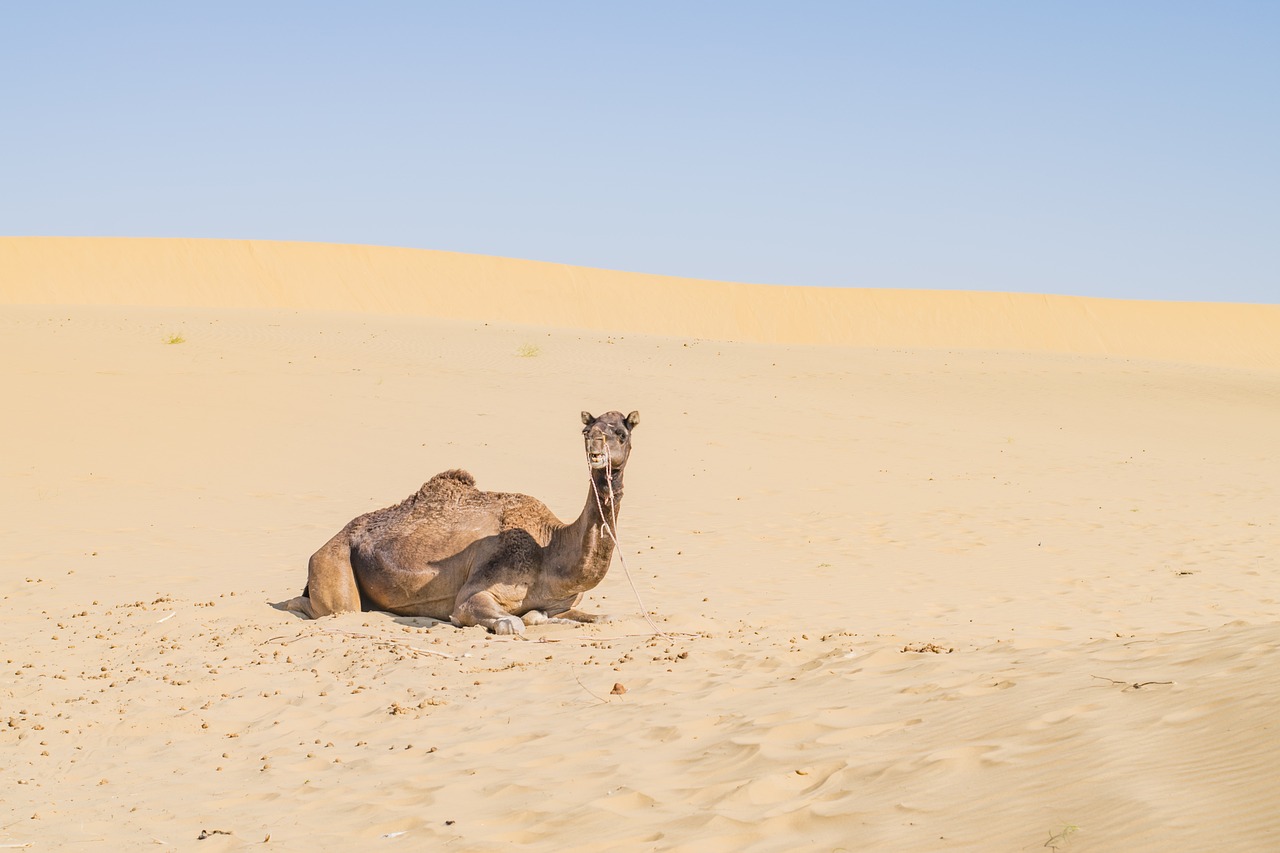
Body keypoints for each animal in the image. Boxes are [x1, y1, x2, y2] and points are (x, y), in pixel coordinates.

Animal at [280, 410, 639, 635]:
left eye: (621, 433)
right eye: (586, 431)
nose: (596, 446)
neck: (549, 549)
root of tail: (329, 541)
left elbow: (604, 616)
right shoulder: (473, 595)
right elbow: (511, 621)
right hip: (333, 561)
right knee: (333, 606)